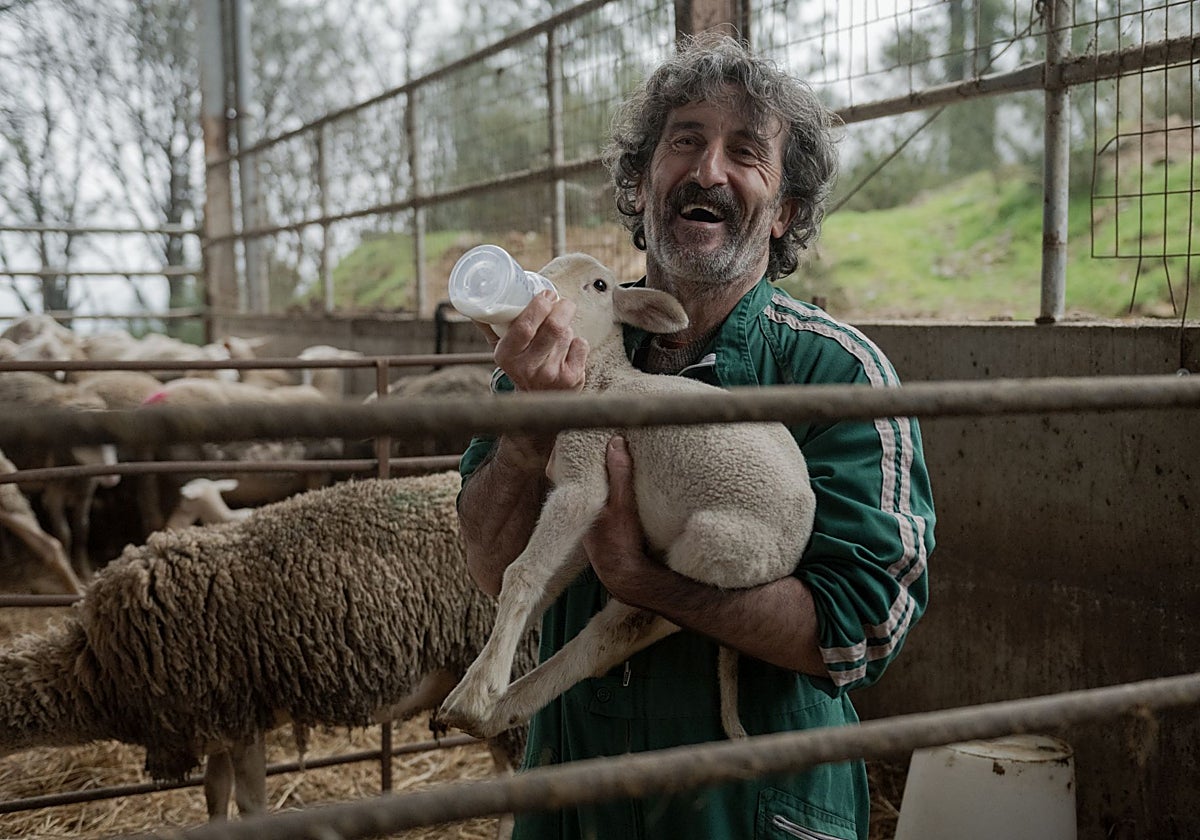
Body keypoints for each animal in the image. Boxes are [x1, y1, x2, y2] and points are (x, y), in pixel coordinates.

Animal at [437, 253, 816, 742]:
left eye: (600, 285)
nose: (540, 294)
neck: (603, 380)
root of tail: (795, 550)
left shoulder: (585, 476)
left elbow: (522, 573)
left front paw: (481, 687)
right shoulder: (590, 511)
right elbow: (532, 580)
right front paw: (479, 679)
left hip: (719, 547)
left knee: (629, 627)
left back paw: (498, 704)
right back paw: (503, 707)